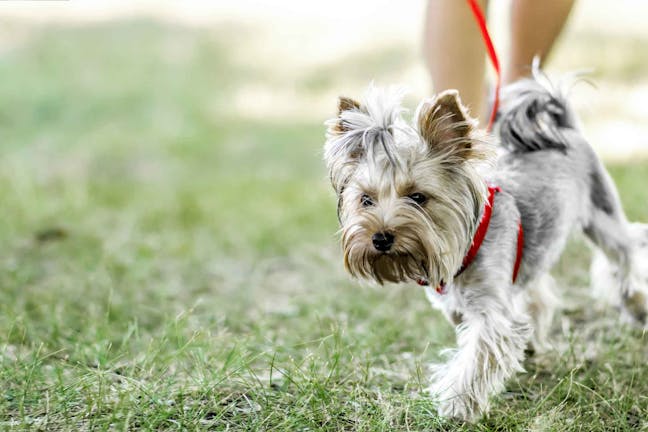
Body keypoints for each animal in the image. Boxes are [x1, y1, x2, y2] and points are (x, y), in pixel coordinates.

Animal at [322, 68, 648, 422]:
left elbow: (478, 354)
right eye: (366, 200)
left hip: (602, 214)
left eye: (418, 197)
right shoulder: (459, 307)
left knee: (626, 249)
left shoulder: (491, 310)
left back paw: (636, 305)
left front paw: (457, 404)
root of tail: (565, 127)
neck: (461, 249)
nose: (380, 238)